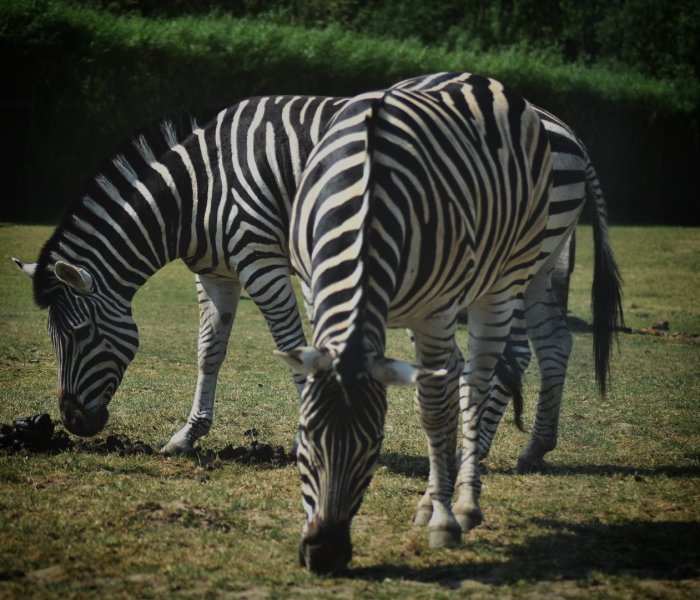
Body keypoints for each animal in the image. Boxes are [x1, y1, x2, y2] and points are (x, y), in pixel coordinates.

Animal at [278, 72, 624, 576]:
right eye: (305, 434)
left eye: (375, 444)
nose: (324, 555)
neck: (365, 197)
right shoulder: (311, 288)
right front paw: (433, 500)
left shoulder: (437, 310)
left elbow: (434, 411)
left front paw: (444, 517)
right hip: (537, 268)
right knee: (542, 346)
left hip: (510, 273)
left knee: (482, 377)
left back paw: (463, 500)